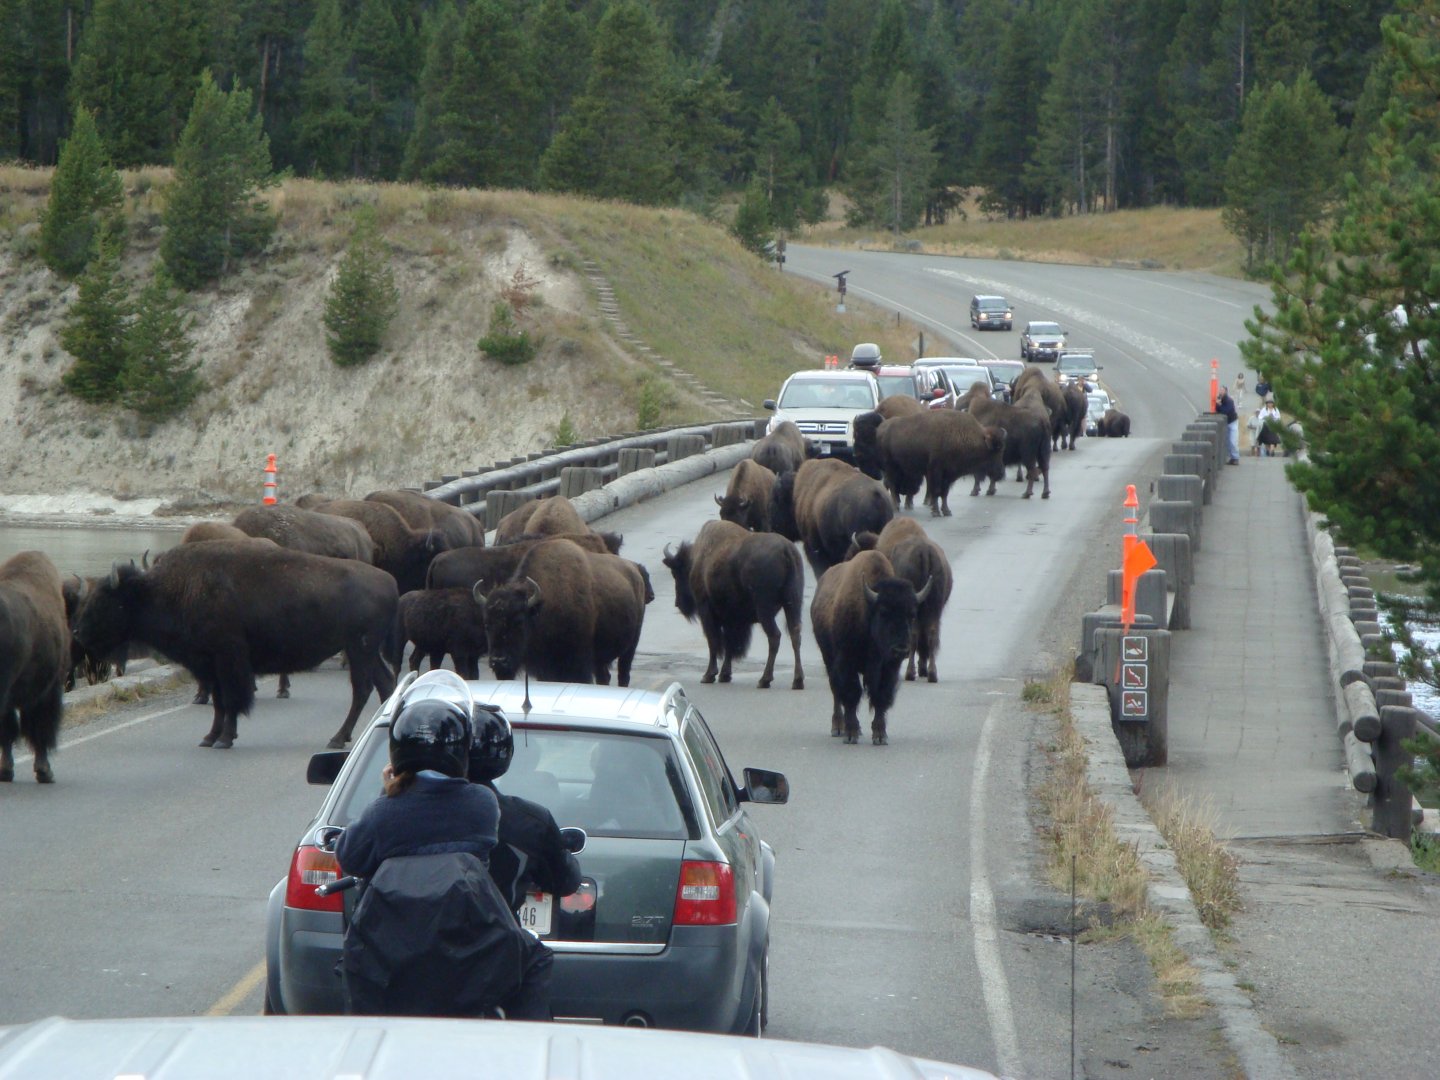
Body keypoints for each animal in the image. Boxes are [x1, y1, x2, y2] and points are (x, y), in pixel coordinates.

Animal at [74, 542, 398, 750]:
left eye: (104, 600)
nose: (78, 633)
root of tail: (389, 581)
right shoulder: (210, 664)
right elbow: (218, 701)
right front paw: (209, 737)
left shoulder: (228, 660)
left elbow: (231, 701)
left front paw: (224, 739)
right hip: (366, 652)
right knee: (385, 683)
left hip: (359, 649)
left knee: (362, 690)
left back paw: (337, 738)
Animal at [477, 539, 647, 687]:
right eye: (486, 624)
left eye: (518, 622)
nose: (499, 661)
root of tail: (634, 571)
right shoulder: (546, 670)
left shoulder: (579, 666)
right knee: (604, 676)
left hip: (631, 646)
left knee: (623, 674)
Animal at [662, 520, 804, 690]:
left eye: (675, 573)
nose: (678, 603)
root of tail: (786, 550)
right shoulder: (731, 618)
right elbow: (729, 644)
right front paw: (725, 675)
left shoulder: (707, 611)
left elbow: (714, 641)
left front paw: (708, 675)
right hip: (793, 605)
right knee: (795, 635)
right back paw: (797, 681)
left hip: (765, 611)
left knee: (774, 636)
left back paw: (764, 680)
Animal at [810, 550, 931, 745]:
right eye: (883, 612)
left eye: (912, 615)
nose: (901, 649)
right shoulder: (846, 662)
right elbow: (851, 694)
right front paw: (851, 734)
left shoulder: (888, 667)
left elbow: (881, 695)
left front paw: (880, 735)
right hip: (828, 657)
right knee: (836, 690)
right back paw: (838, 727)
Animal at [846, 519, 953, 683]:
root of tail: (924, 551)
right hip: (933, 608)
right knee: (931, 634)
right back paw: (931, 673)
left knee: (914, 636)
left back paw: (910, 673)